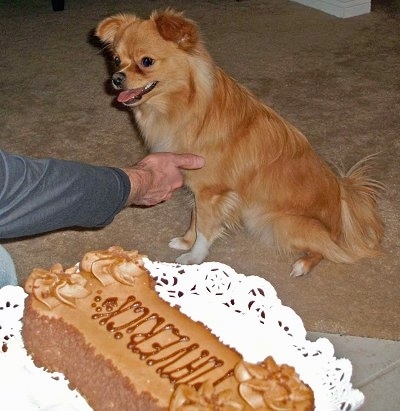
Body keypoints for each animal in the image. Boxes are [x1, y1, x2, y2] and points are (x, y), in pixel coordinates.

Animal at [95, 9, 382, 276]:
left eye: (146, 61)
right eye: (116, 60)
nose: (116, 78)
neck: (185, 107)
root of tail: (342, 199)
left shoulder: (211, 192)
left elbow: (205, 226)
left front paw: (194, 256)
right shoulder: (200, 190)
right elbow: (195, 218)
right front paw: (186, 241)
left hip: (277, 222)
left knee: (328, 249)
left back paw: (303, 264)